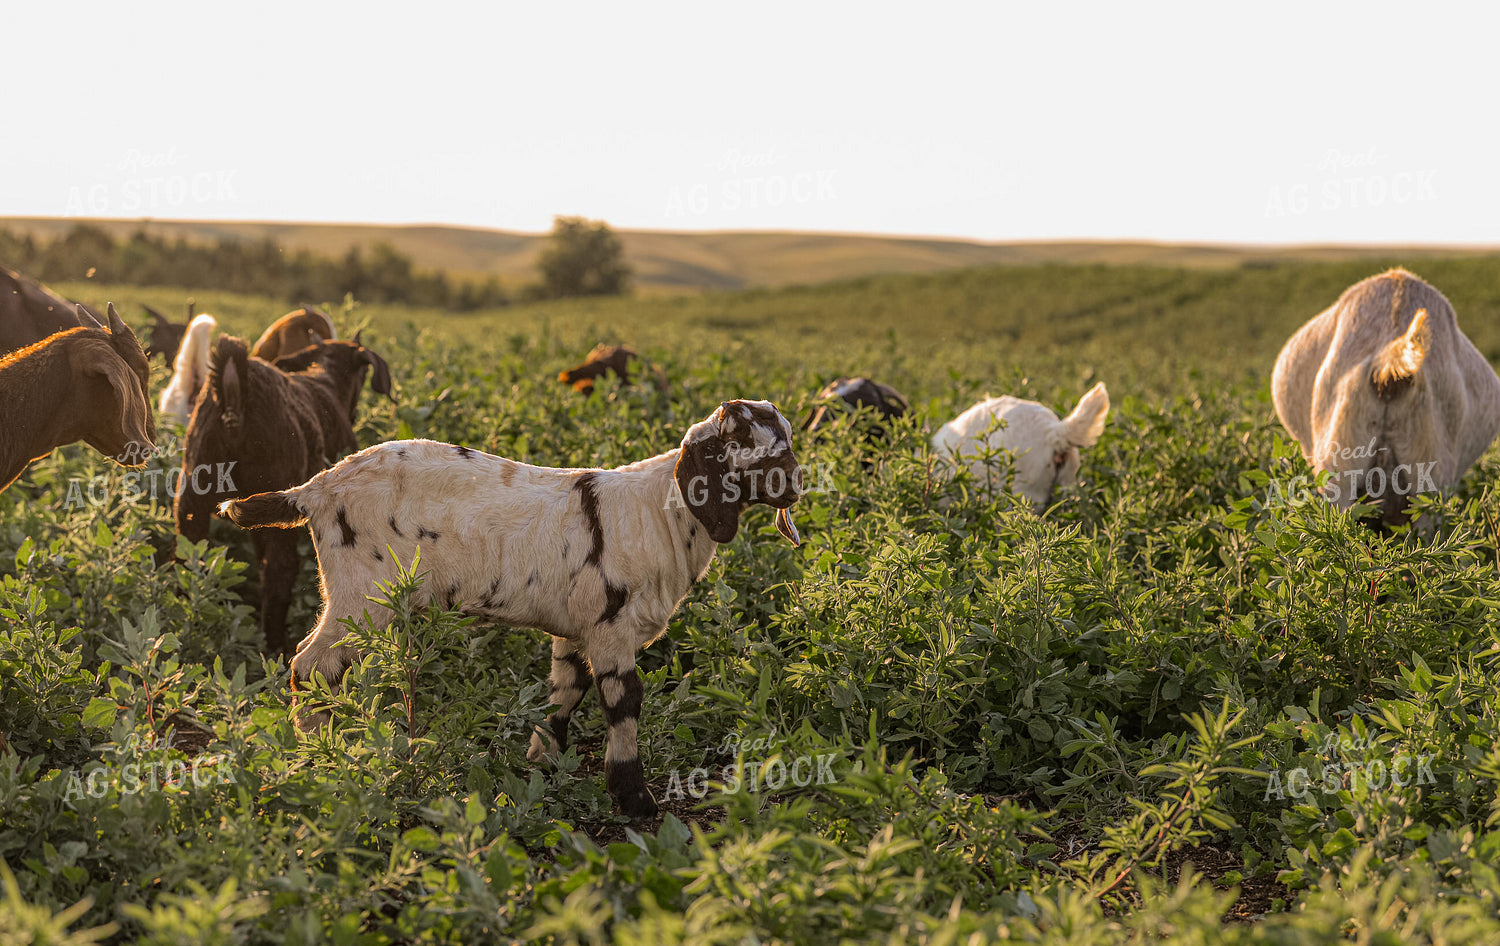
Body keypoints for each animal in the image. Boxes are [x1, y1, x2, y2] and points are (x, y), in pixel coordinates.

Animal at [177, 333, 393, 653]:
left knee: (188, 560)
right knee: (280, 573)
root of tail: (235, 389)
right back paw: (274, 644)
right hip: (283, 506)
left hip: (193, 499)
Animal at [218, 399, 804, 818]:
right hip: (361, 595)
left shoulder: (575, 627)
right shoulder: (610, 628)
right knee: (310, 664)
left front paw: (545, 765)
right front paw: (633, 800)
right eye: (761, 448)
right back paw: (321, 752)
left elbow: (565, 690)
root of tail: (316, 489)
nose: (799, 486)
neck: (659, 511)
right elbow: (623, 702)